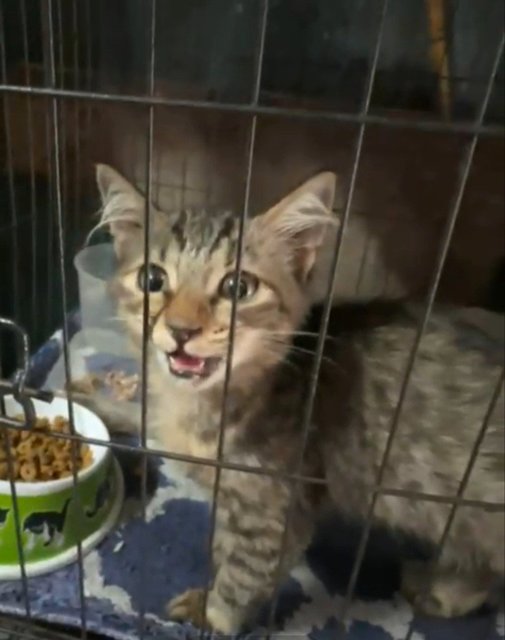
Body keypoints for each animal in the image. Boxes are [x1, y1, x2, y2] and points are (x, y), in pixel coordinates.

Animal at [72, 165, 504, 636]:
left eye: (238, 287)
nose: (182, 329)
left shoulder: (273, 509)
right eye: (152, 280)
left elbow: (242, 574)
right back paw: (441, 590)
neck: (198, 405)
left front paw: (212, 613)